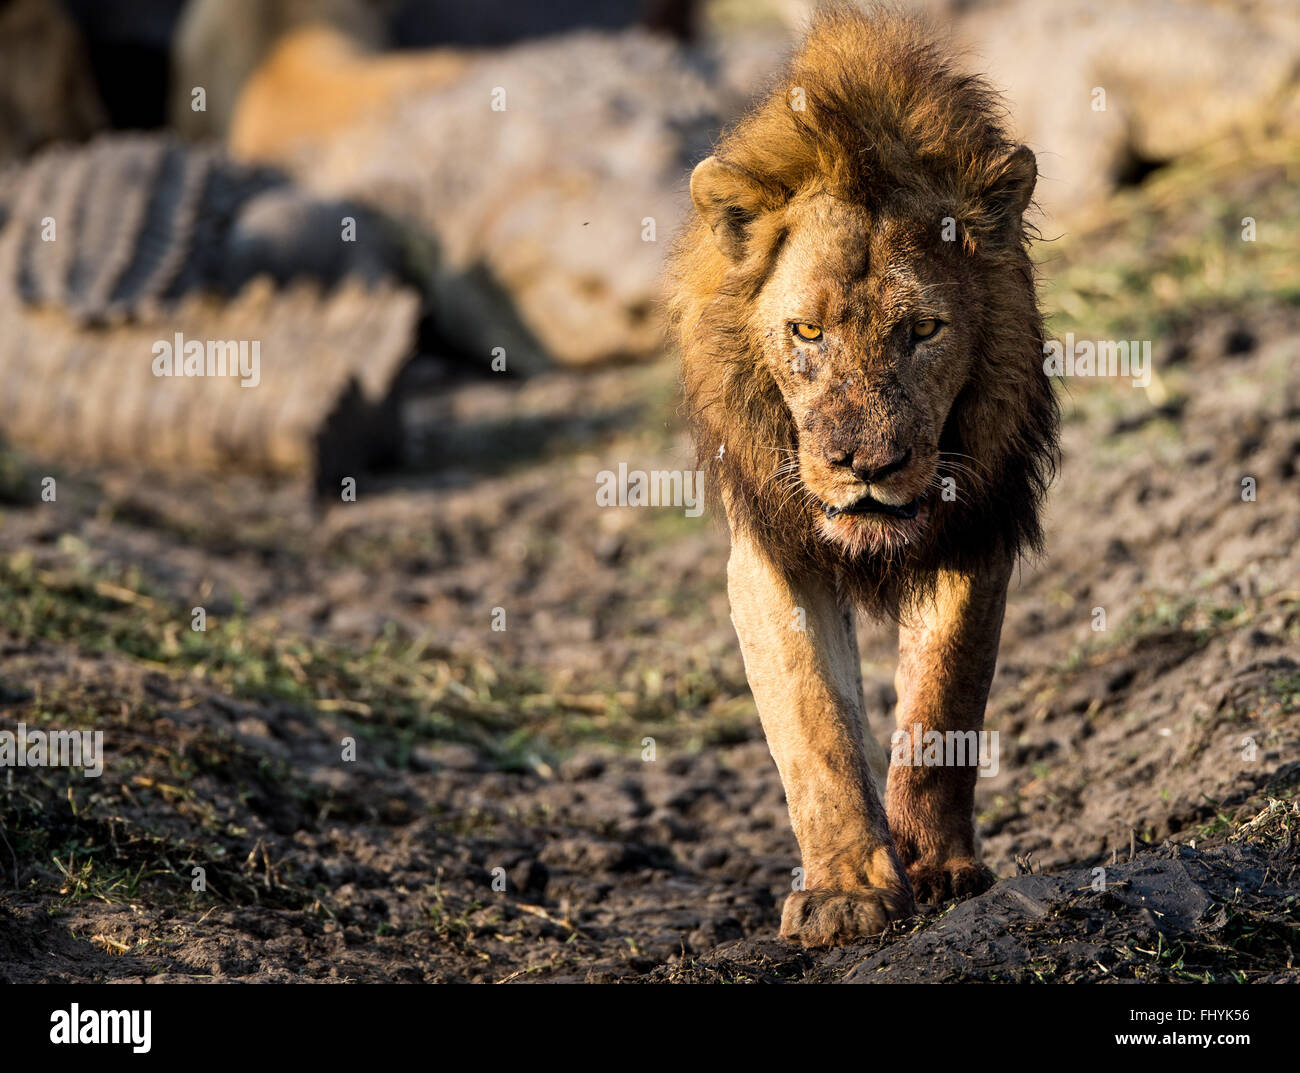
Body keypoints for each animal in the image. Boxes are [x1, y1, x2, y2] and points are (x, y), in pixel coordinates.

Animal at [670, 6, 1055, 946]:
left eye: (923, 329)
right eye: (807, 330)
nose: (867, 466)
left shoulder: (974, 523)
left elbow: (944, 698)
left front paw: (935, 865)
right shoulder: (773, 551)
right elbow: (816, 727)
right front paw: (848, 894)